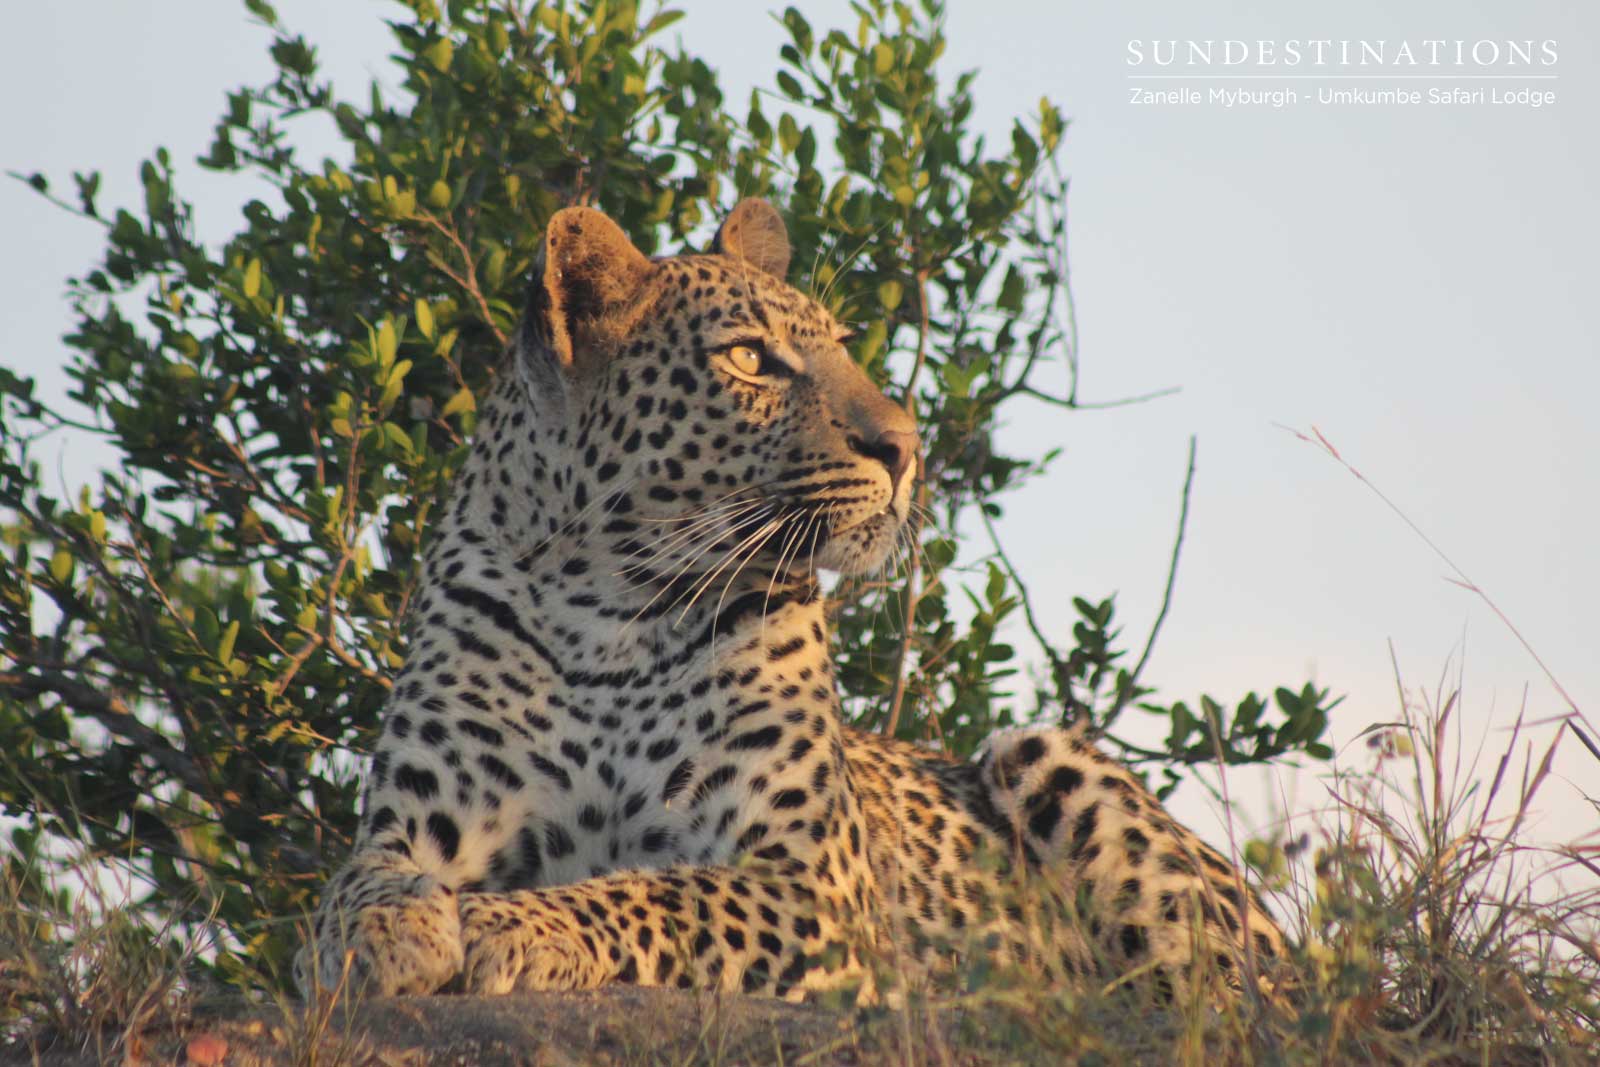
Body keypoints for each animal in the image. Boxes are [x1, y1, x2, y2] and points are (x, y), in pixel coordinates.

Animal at [297, 198, 1288, 1003]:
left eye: (843, 346)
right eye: (749, 358)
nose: (904, 447)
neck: (606, 609)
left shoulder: (814, 883)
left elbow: (664, 892)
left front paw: (516, 924)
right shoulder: (416, 823)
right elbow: (351, 883)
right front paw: (389, 933)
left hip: (1046, 759)